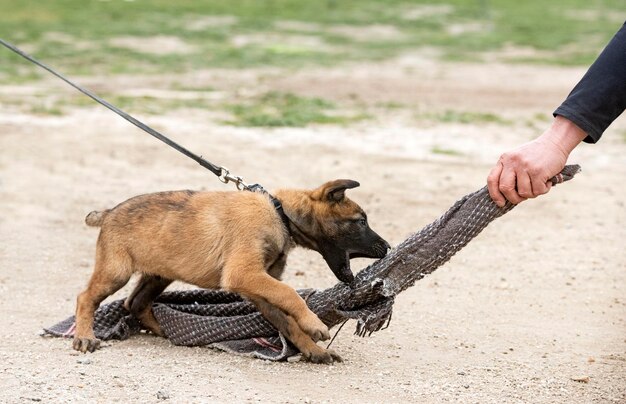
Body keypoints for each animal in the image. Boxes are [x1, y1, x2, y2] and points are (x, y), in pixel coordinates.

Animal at [73, 180, 386, 362]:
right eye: (360, 221)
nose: (386, 247)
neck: (279, 213)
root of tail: (109, 213)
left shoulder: (258, 287)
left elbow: (287, 321)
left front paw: (313, 350)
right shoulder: (245, 275)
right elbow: (290, 294)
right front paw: (314, 324)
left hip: (159, 274)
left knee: (134, 302)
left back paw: (165, 330)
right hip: (116, 272)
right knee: (86, 297)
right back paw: (85, 336)